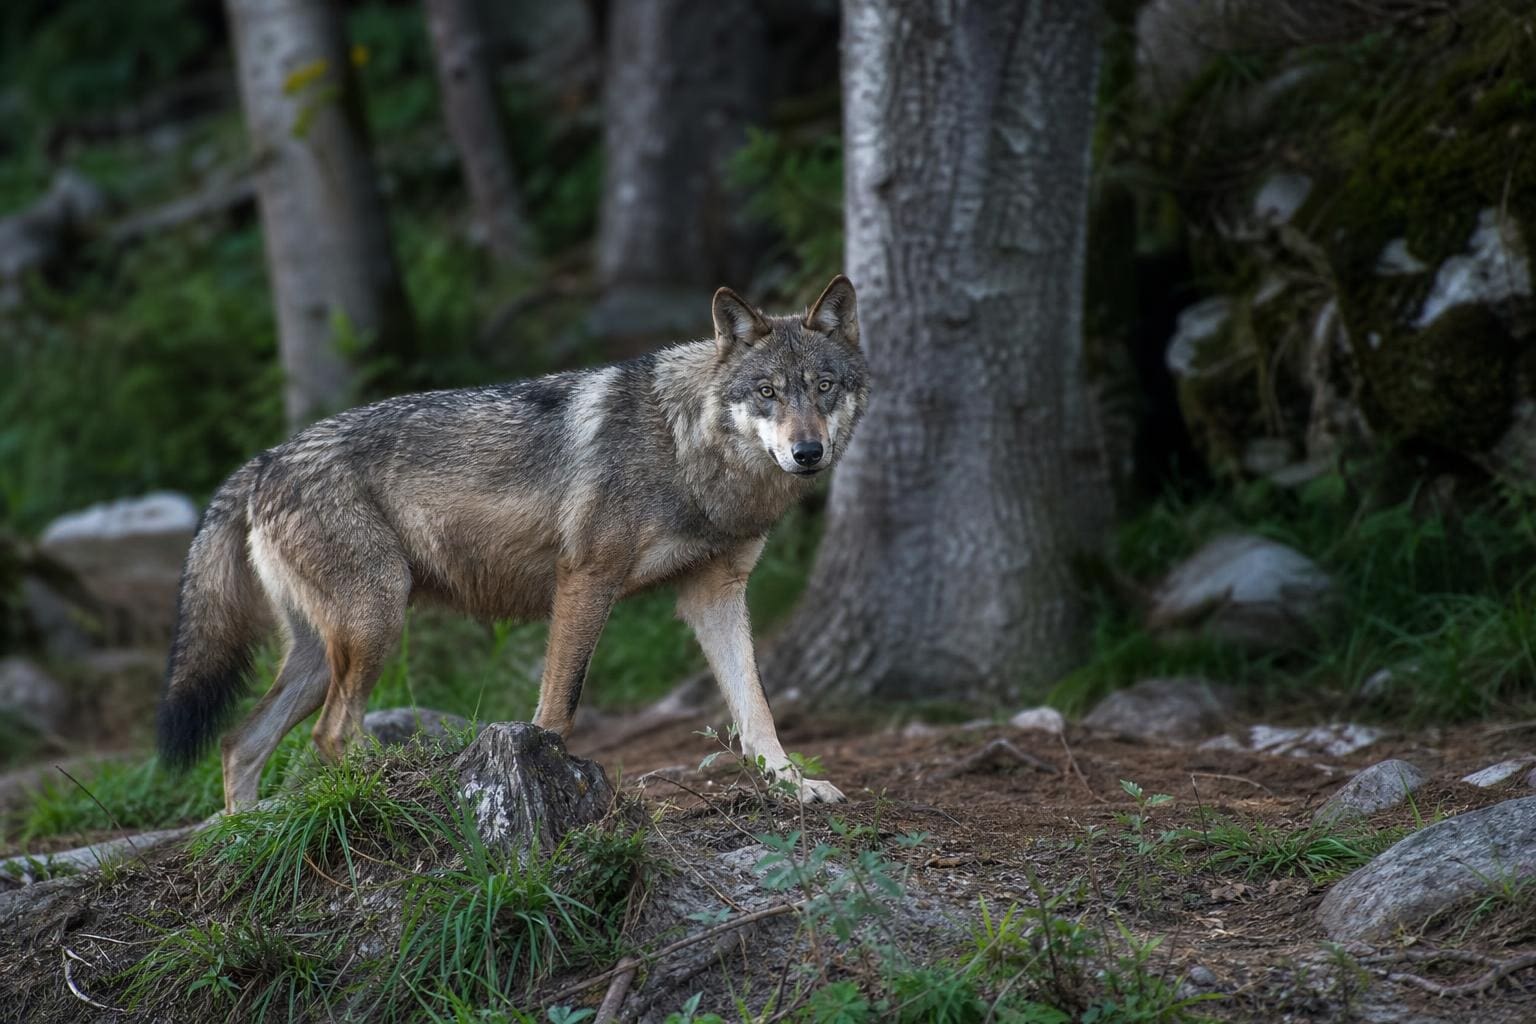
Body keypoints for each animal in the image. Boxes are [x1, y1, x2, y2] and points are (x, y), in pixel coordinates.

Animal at [157, 276, 868, 810]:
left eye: (823, 387)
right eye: (767, 392)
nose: (808, 452)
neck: (685, 445)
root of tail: (263, 461)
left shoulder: (715, 594)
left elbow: (757, 709)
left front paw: (796, 788)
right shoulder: (585, 578)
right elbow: (559, 706)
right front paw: (543, 780)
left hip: (323, 650)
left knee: (240, 744)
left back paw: (244, 837)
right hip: (376, 621)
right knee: (331, 735)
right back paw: (398, 784)